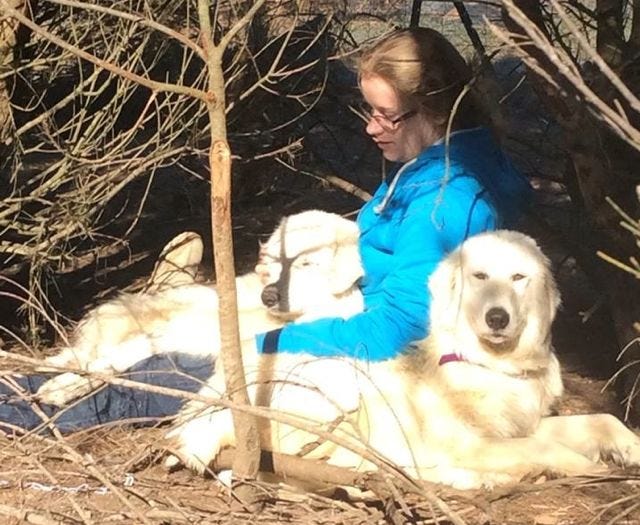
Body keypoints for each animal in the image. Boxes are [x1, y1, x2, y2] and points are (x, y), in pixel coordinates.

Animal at [165, 231, 640, 490]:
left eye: (519, 277)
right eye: (479, 275)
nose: (497, 317)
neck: (488, 363)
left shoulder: (524, 423)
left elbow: (602, 420)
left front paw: (629, 449)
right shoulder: (475, 441)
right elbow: (548, 449)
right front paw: (590, 468)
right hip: (331, 396)